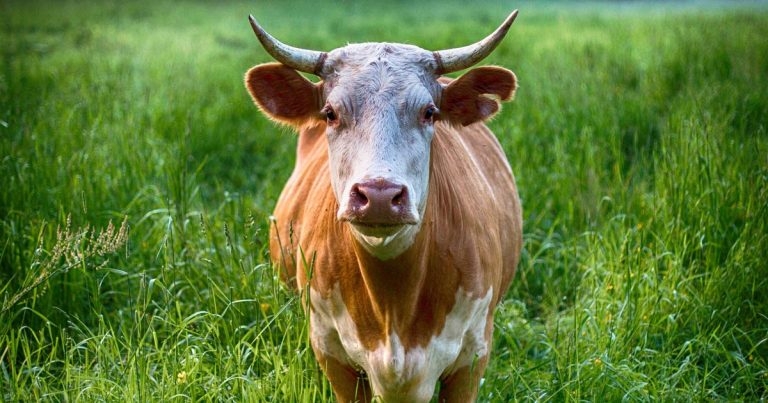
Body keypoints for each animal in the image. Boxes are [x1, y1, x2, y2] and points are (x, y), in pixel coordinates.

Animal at [244, 10, 522, 402]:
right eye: (330, 113)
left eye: (429, 112)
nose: (378, 196)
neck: (394, 307)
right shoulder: (330, 351)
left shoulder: (473, 355)